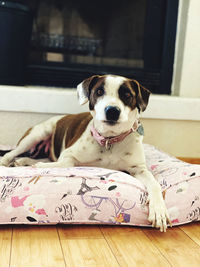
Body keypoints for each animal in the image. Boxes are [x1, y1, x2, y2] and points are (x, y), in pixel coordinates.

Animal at [0, 75, 171, 232]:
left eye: (127, 94)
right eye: (99, 91)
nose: (112, 110)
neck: (109, 141)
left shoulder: (139, 169)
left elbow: (154, 184)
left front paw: (159, 210)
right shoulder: (67, 154)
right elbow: (67, 162)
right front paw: (40, 167)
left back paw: (24, 162)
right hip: (37, 134)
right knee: (12, 154)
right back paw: (10, 162)